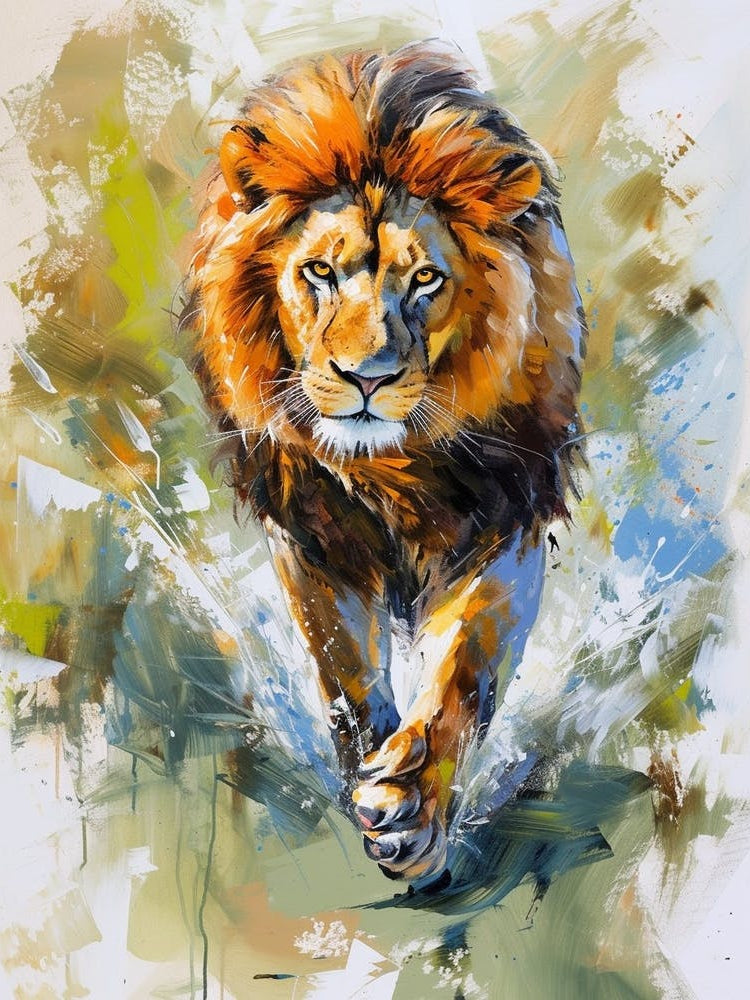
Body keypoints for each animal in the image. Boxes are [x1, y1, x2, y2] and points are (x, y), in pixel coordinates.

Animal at [186, 41, 587, 883]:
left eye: (425, 278)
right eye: (320, 272)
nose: (366, 377)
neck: (390, 470)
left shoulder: (506, 521)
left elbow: (463, 673)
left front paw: (410, 810)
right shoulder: (312, 535)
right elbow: (344, 671)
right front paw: (370, 776)